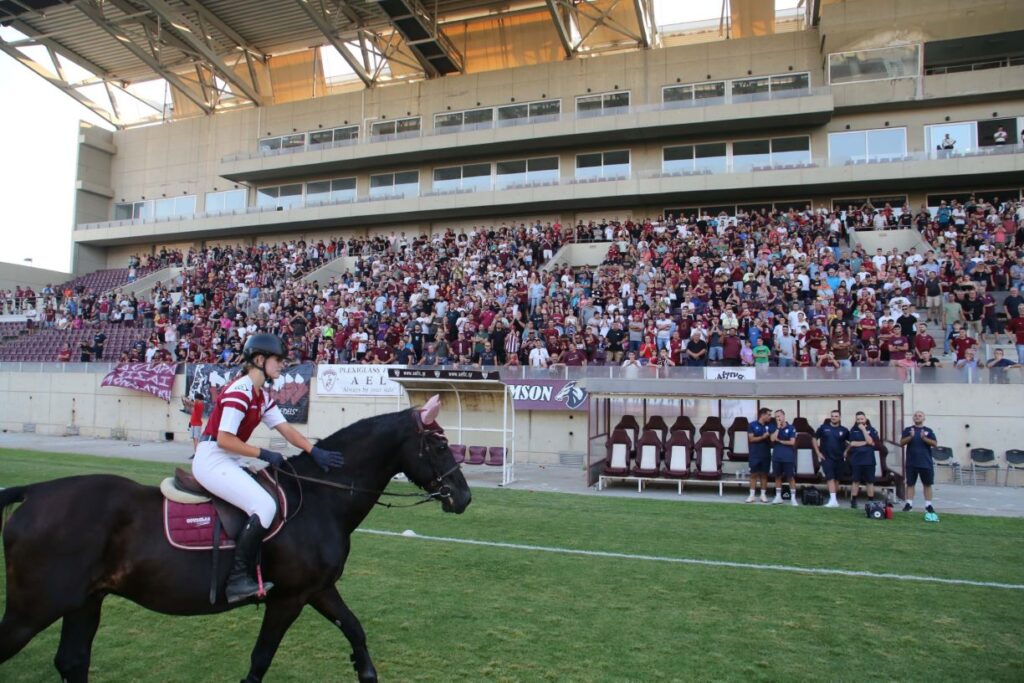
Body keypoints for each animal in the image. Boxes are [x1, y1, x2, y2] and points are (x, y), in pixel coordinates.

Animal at [0, 395, 471, 683]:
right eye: (439, 446)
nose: (463, 497)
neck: (321, 498)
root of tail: (35, 491)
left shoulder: (319, 589)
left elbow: (355, 631)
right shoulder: (289, 597)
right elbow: (261, 656)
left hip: (83, 602)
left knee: (72, 661)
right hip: (35, 607)